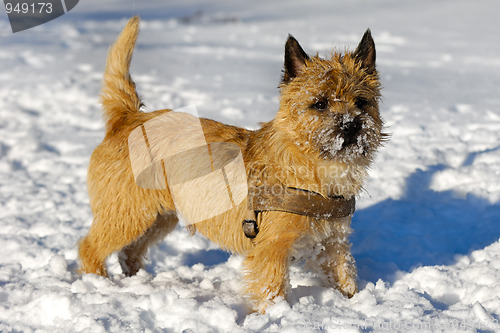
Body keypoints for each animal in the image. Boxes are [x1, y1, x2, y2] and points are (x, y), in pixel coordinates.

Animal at [78, 15, 384, 312]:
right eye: (320, 104)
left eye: (361, 102)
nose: (351, 125)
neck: (314, 168)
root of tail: (127, 117)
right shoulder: (272, 247)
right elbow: (271, 288)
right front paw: (275, 315)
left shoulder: (334, 243)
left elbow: (344, 275)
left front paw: (351, 302)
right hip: (128, 214)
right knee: (89, 246)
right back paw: (99, 282)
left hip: (158, 218)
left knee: (129, 252)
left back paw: (137, 280)